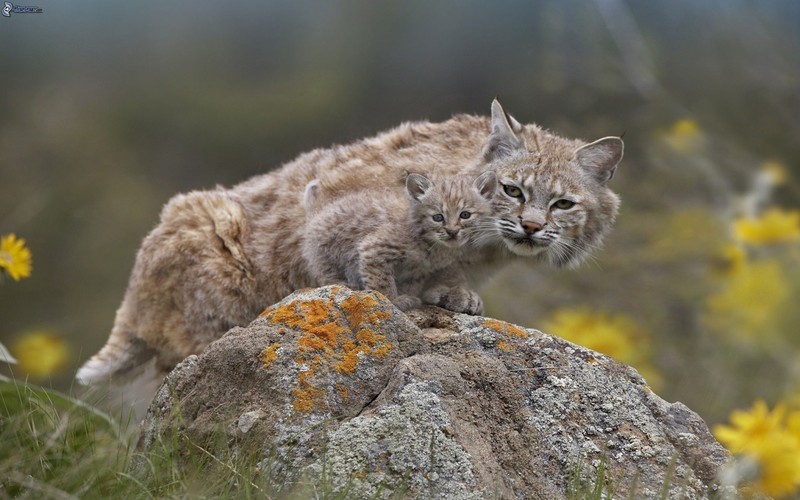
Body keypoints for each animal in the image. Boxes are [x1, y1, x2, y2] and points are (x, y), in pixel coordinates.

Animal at [304, 172, 496, 312]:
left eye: (465, 215)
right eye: (437, 217)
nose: (452, 232)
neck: (435, 245)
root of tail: (319, 212)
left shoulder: (418, 271)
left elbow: (410, 285)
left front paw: (406, 297)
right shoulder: (373, 249)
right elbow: (382, 282)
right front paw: (393, 300)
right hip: (328, 250)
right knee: (324, 273)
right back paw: (344, 284)